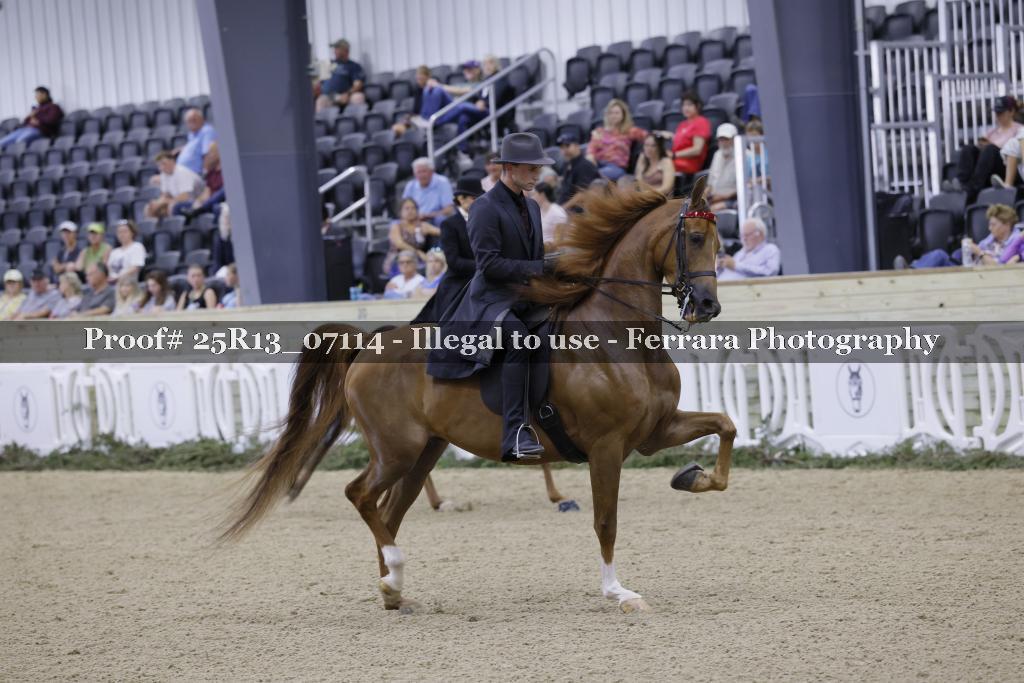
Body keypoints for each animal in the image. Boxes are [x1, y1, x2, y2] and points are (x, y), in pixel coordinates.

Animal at [221, 176, 735, 614]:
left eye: (719, 242)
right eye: (693, 239)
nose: (708, 305)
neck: (619, 338)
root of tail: (371, 342)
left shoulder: (653, 432)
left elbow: (725, 426)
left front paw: (692, 477)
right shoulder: (607, 447)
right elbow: (605, 520)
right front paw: (617, 592)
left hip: (423, 451)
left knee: (389, 509)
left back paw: (392, 590)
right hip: (397, 449)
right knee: (361, 495)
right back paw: (394, 575)